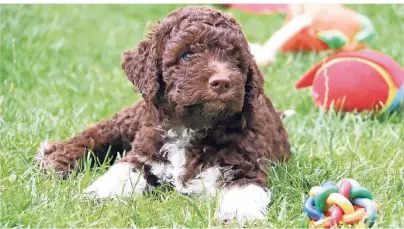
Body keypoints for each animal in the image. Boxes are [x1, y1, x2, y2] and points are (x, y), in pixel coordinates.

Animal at [35, 5, 290, 225]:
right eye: (187, 55)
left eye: (235, 59)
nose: (222, 82)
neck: (191, 127)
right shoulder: (144, 153)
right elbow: (121, 172)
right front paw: (99, 195)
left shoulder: (246, 167)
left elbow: (244, 192)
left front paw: (238, 217)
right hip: (130, 119)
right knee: (96, 135)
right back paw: (54, 159)